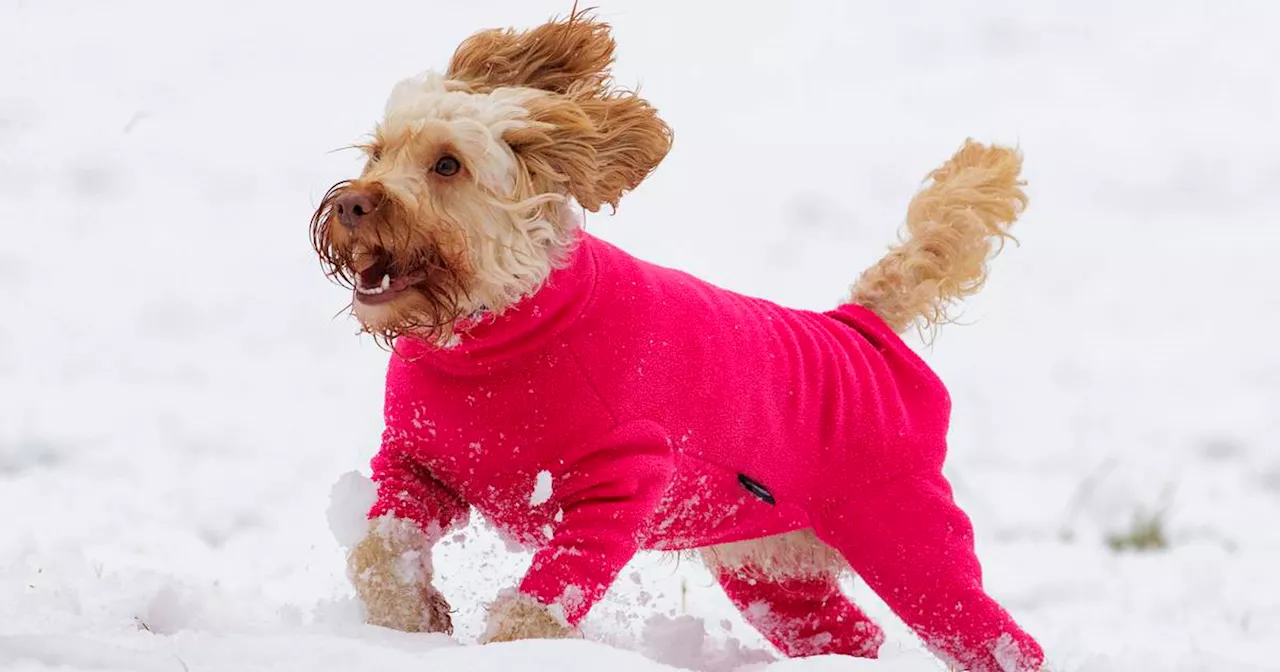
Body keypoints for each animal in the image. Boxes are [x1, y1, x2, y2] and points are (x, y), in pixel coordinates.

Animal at [314, 13, 1044, 670]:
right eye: (377, 152)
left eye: (447, 164)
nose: (352, 203)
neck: (494, 334)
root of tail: (856, 324)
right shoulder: (416, 464)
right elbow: (378, 547)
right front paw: (410, 622)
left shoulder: (618, 487)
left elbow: (538, 607)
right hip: (772, 571)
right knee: (845, 631)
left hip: (909, 540)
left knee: (1000, 640)